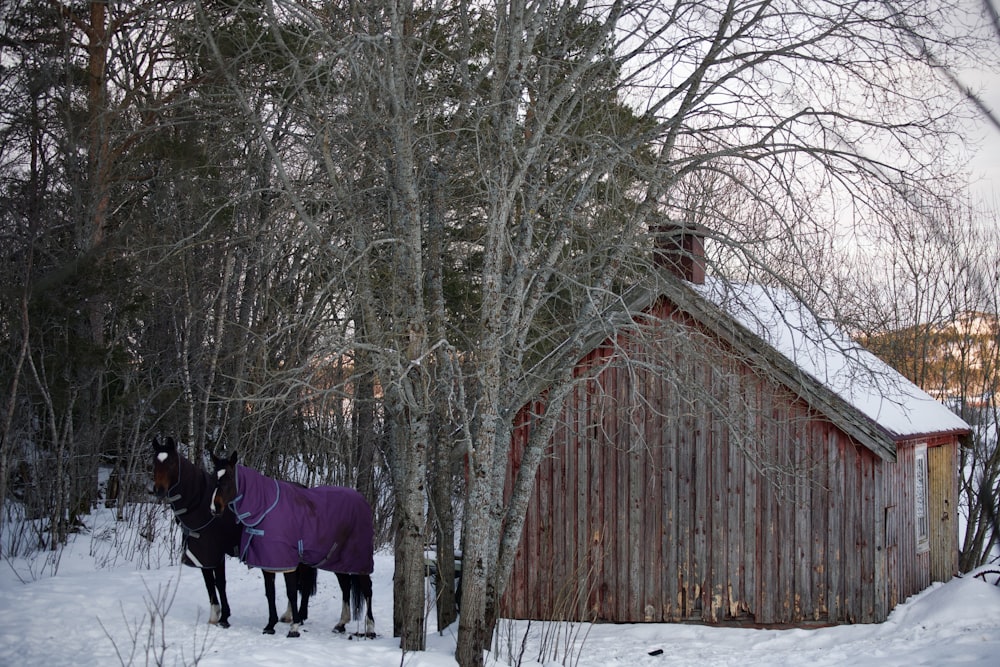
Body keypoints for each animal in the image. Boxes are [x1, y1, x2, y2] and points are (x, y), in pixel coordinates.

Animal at [151, 438, 316, 632]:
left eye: (170, 463)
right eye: (155, 462)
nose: (159, 490)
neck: (200, 505)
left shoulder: (216, 553)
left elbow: (220, 583)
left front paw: (224, 617)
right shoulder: (203, 554)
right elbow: (209, 584)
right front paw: (214, 616)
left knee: (303, 583)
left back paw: (300, 616)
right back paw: (289, 615)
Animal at [209, 452, 376, 640]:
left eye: (229, 477)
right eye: (214, 477)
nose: (215, 508)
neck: (265, 508)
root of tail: (363, 501)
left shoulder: (287, 561)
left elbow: (291, 591)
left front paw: (294, 628)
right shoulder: (267, 562)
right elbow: (270, 593)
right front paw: (270, 626)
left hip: (358, 560)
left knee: (367, 589)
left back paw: (370, 629)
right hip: (338, 560)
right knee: (345, 586)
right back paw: (341, 624)